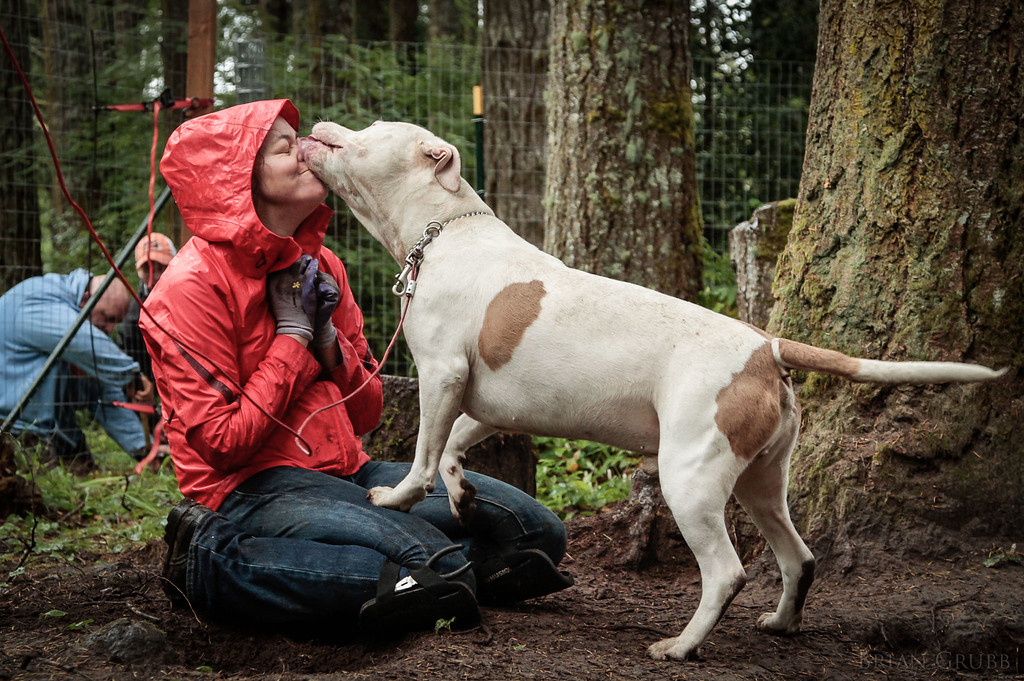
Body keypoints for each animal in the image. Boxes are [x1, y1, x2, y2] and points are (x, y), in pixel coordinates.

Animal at [299, 120, 1003, 659]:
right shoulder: (484, 403)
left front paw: (397, 497)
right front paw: (463, 497)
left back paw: (682, 646)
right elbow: (449, 451)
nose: (322, 124)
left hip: (689, 481)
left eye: (372, 131)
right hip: (760, 483)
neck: (445, 230)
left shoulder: (441, 376)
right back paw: (781, 623)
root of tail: (765, 347)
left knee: (726, 573)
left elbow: (422, 455)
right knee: (799, 558)